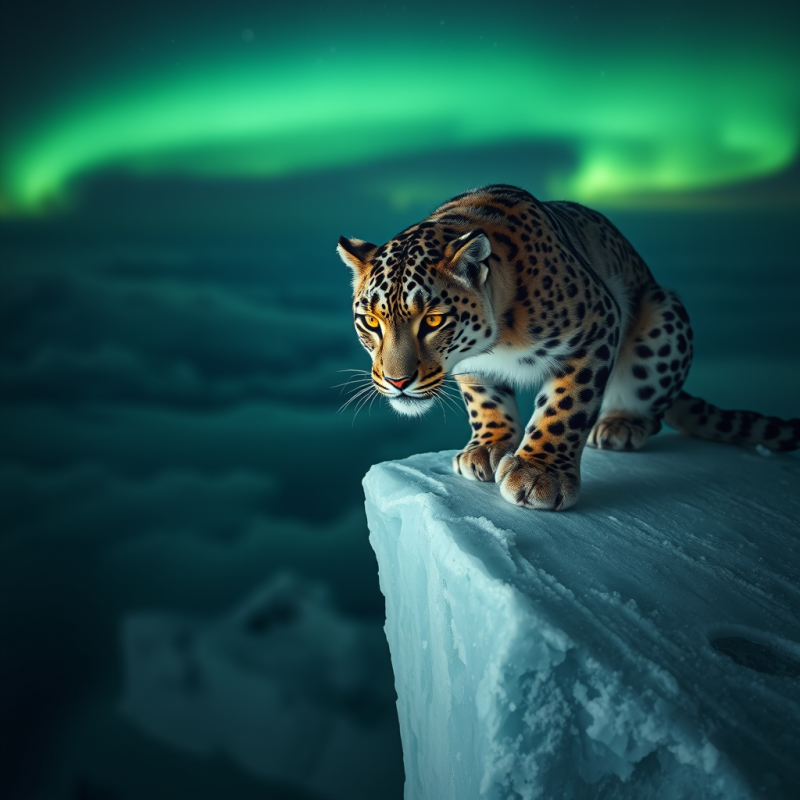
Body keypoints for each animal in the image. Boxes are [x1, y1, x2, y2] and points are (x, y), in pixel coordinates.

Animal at [337, 184, 800, 511]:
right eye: (371, 322)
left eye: (433, 321)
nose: (397, 381)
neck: (496, 338)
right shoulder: (473, 364)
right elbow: (485, 399)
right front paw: (487, 446)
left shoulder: (598, 325)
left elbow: (566, 406)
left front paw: (540, 475)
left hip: (662, 313)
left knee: (650, 409)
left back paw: (621, 425)